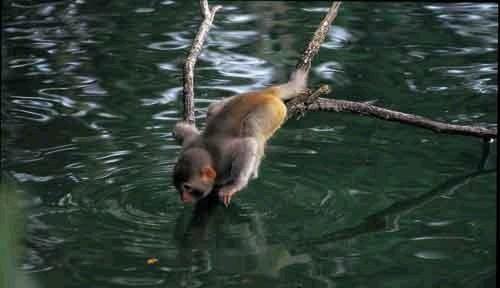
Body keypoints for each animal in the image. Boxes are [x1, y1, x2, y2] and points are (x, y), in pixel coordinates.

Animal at [173, 68, 308, 206]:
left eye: (187, 188)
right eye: (178, 188)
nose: (183, 198)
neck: (210, 155)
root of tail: (265, 93)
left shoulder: (223, 158)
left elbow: (248, 145)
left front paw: (236, 185)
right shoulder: (189, 142)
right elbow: (179, 129)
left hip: (273, 110)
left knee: (251, 127)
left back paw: (253, 170)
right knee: (213, 108)